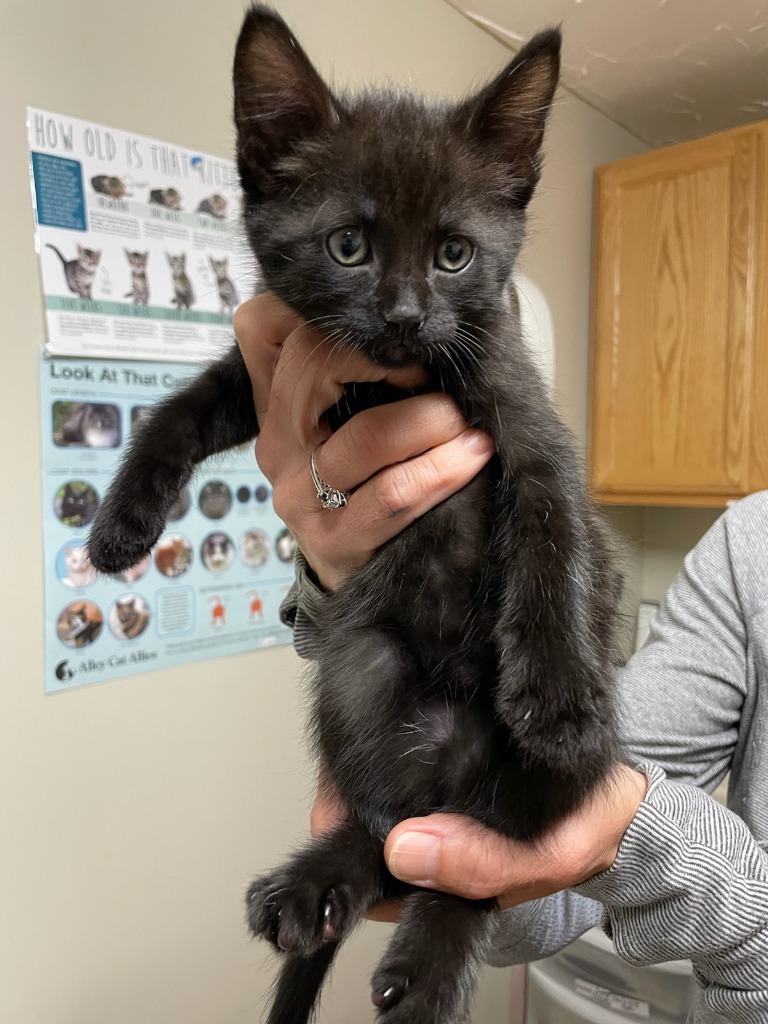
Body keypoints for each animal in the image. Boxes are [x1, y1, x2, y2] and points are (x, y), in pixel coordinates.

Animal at [87, 9, 622, 1024]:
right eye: (348, 247)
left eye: (454, 253)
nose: (407, 315)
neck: (391, 377)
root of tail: (453, 755)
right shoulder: (270, 372)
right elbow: (185, 407)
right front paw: (119, 522)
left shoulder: (523, 412)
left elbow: (553, 530)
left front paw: (557, 695)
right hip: (361, 668)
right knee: (399, 838)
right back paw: (313, 887)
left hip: (562, 772)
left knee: (475, 864)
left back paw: (424, 973)